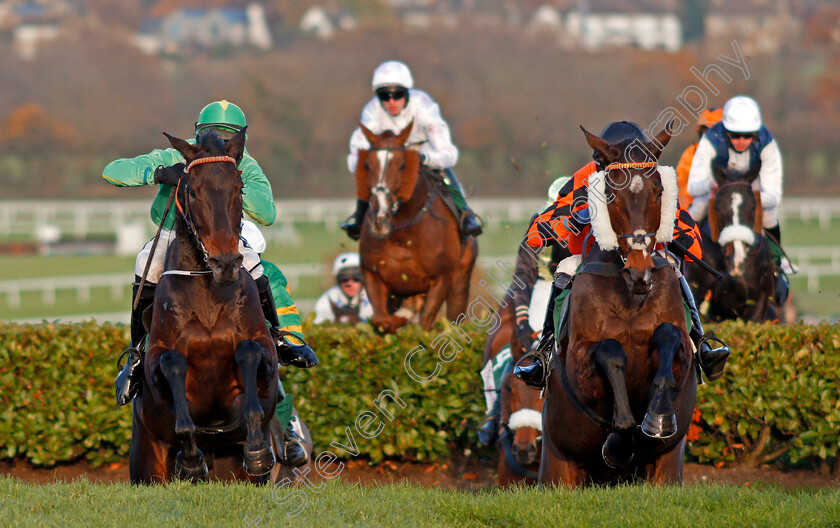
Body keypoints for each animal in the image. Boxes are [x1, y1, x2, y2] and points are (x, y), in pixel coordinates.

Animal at [129, 129, 278, 482]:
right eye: (193, 191)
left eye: (239, 189)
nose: (226, 262)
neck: (208, 287)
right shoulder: (156, 364)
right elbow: (171, 362)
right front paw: (192, 460)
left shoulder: (265, 358)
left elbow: (250, 351)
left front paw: (256, 450)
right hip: (146, 463)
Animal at [352, 121, 476, 332]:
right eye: (367, 164)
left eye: (402, 165)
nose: (380, 217)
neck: (403, 236)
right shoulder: (373, 275)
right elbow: (382, 322)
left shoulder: (442, 278)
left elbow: (423, 325)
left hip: (460, 282)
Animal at [540, 124, 700, 486]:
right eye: (611, 194)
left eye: (659, 191)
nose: (639, 270)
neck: (630, 297)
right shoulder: (579, 365)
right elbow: (610, 351)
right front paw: (620, 440)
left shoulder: (683, 351)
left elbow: (669, 336)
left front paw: (658, 416)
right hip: (557, 463)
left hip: (667, 468)